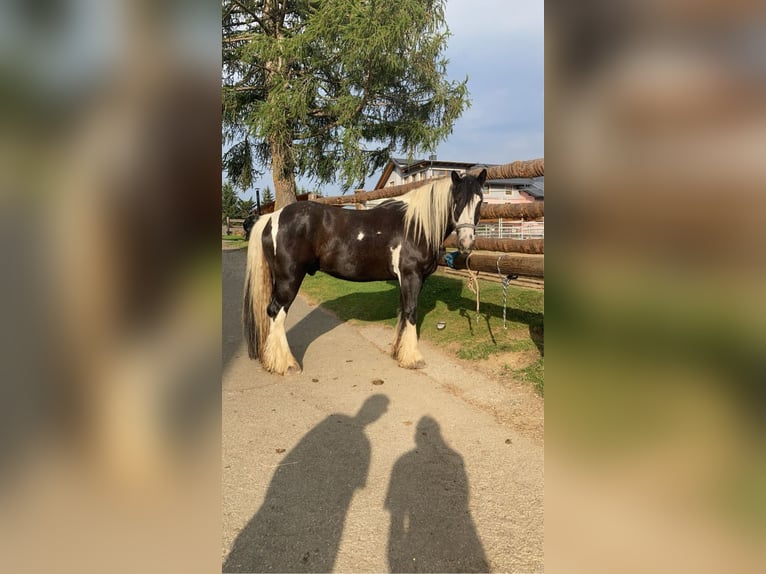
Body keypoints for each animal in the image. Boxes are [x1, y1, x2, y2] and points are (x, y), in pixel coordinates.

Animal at [242, 169, 486, 375]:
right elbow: (411, 312)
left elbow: (402, 311)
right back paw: (286, 364)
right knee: (276, 312)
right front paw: (413, 359)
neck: (415, 225)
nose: (466, 242)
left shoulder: (405, 280)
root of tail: (270, 218)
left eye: (480, 201)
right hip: (289, 279)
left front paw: (398, 352)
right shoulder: (412, 276)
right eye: (457, 200)